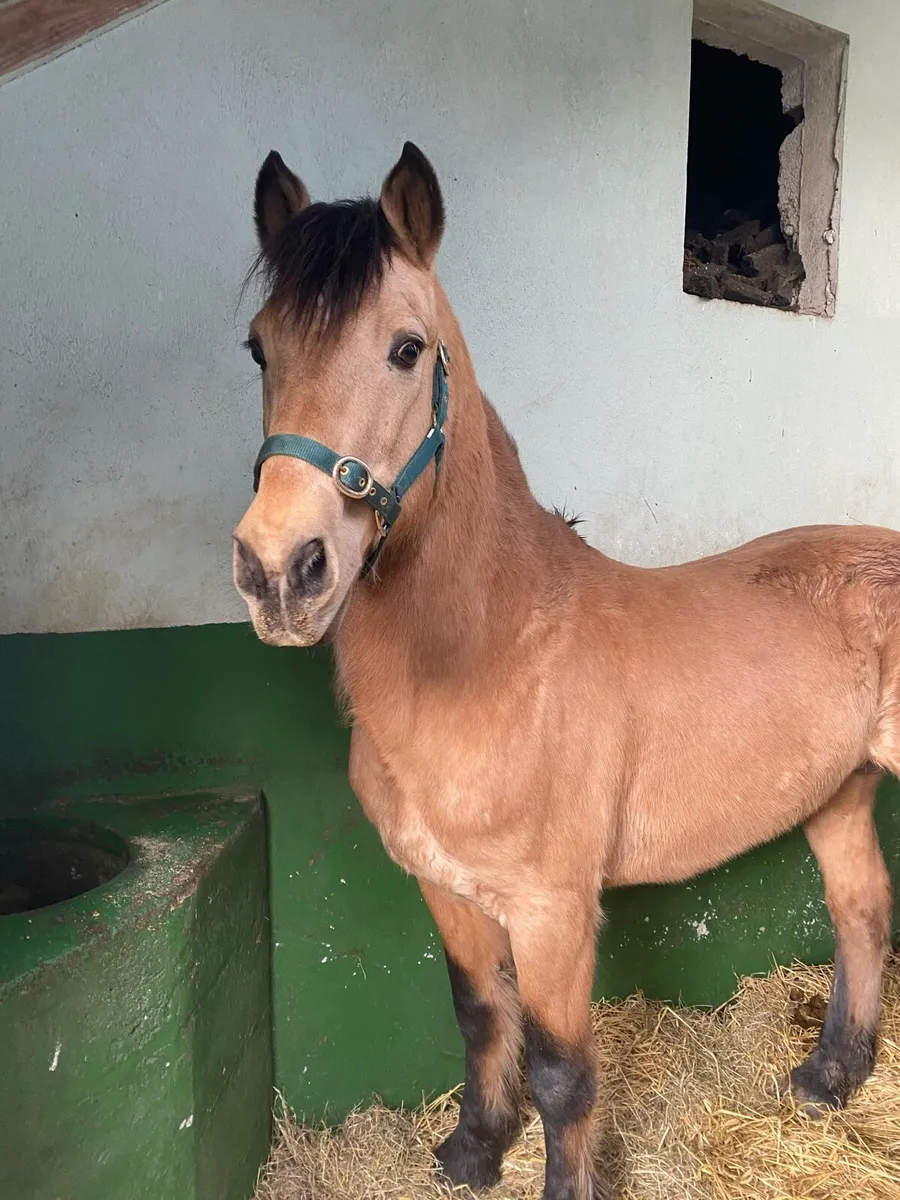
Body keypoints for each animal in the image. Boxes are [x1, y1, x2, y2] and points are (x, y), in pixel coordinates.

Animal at [233, 142, 900, 1200]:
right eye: (260, 349)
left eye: (407, 349)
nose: (278, 571)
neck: (497, 654)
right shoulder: (449, 891)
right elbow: (478, 1017)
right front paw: (473, 1149)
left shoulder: (553, 913)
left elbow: (562, 1071)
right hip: (839, 792)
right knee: (861, 912)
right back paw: (832, 1076)